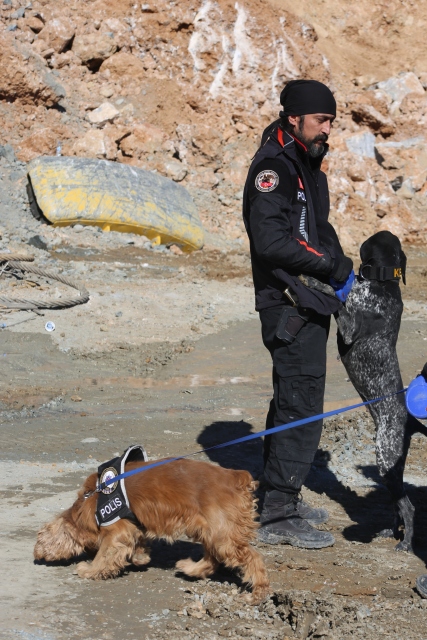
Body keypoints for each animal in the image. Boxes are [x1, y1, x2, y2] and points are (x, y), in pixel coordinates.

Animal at [34, 458, 270, 604]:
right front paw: (140, 558)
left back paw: (256, 595)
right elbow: (137, 544)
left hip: (222, 535)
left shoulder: (116, 531)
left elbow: (105, 555)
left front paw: (90, 570)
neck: (90, 501)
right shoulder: (133, 526)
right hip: (210, 530)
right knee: (212, 558)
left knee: (253, 558)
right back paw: (190, 568)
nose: (36, 557)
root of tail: (236, 477)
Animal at [336, 230, 427, 552]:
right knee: (396, 505)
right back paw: (392, 531)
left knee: (408, 506)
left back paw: (407, 543)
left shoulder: (349, 327)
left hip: (386, 457)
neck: (384, 282)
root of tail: (410, 422)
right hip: (389, 466)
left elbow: (336, 300)